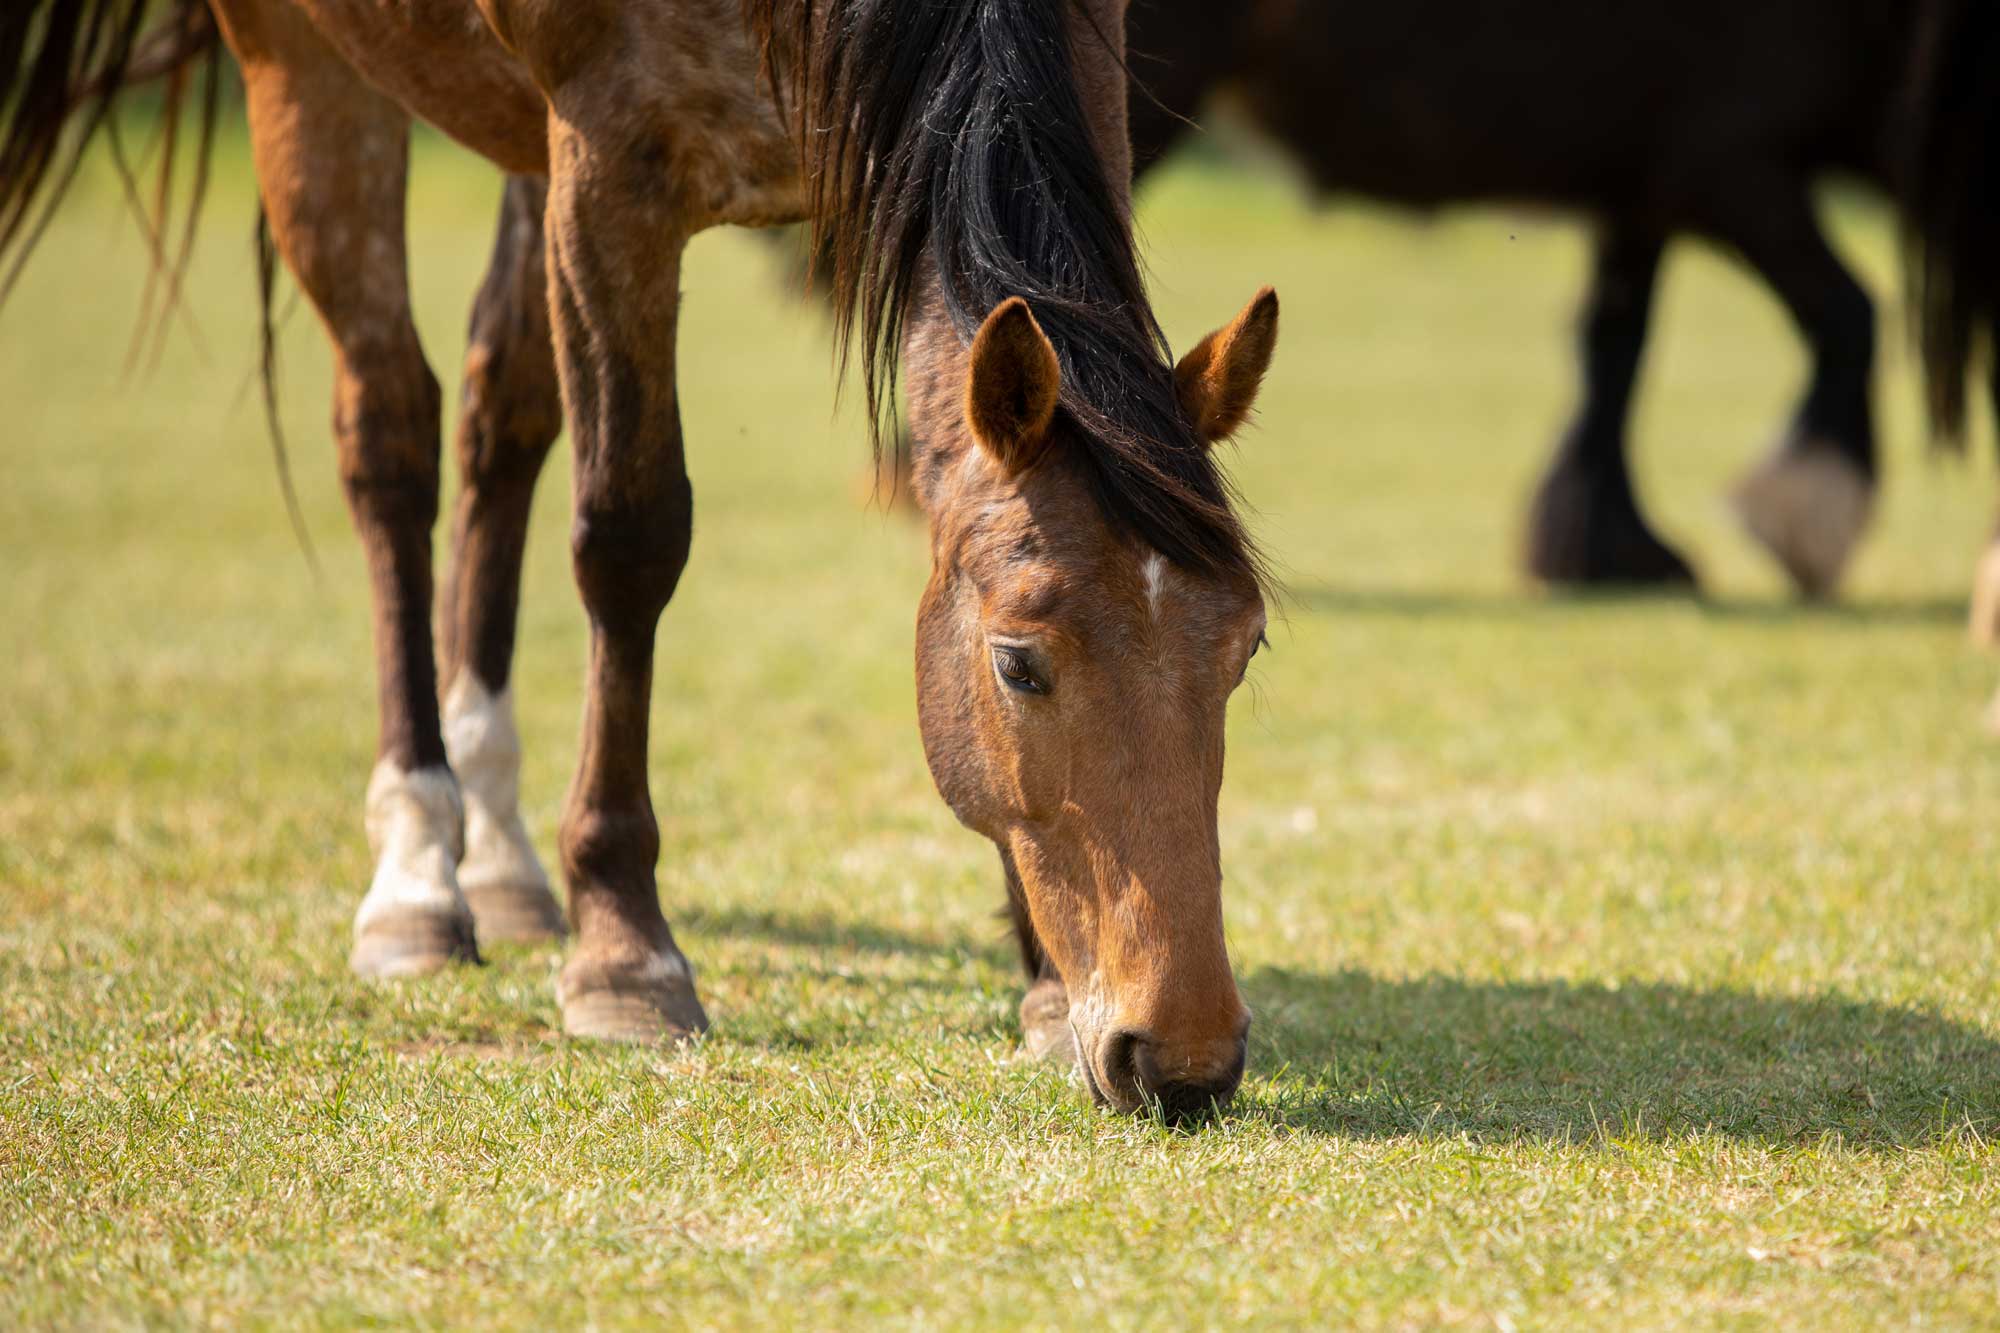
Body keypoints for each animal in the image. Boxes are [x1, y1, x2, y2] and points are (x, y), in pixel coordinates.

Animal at [0, 0, 1280, 1112]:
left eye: (1243, 653)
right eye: (1019, 663)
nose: (1182, 1057)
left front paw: (1044, 984)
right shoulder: (608, 162)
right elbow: (627, 538)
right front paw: (622, 948)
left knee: (497, 412)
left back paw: (498, 854)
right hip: (304, 70)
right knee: (390, 435)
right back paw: (418, 866)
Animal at [1128, 0, 1968, 596]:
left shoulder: (1643, 188)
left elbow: (1615, 343)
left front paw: (1604, 546)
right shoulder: (1726, 164)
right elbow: (1849, 312)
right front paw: (1805, 519)